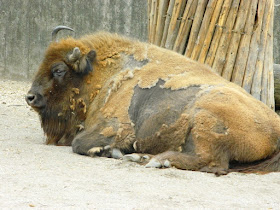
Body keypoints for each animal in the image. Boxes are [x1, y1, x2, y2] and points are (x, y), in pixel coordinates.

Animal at [26, 25, 280, 175]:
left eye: (58, 70)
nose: (30, 97)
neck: (102, 74)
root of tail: (275, 127)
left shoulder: (115, 128)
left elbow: (80, 143)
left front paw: (109, 151)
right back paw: (141, 157)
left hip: (205, 118)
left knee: (212, 162)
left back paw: (158, 161)